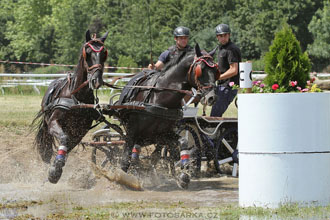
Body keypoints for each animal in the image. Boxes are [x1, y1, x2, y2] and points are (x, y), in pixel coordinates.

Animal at [33, 29, 109, 184]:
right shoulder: (53, 122)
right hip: (47, 123)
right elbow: (63, 138)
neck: (77, 97)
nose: (96, 80)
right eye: (88, 53)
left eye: (104, 53)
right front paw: (55, 169)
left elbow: (68, 145)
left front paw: (56, 169)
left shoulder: (79, 132)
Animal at [113, 44, 219, 187]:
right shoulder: (132, 132)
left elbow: (181, 143)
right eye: (200, 69)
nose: (212, 97)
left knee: (155, 155)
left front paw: (183, 174)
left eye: (216, 71)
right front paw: (121, 180)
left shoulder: (164, 134)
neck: (160, 99)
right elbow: (125, 159)